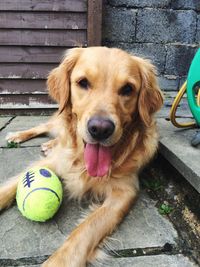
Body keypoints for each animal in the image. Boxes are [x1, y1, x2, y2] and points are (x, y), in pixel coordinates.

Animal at [0, 47, 162, 266]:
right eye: (83, 82)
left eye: (128, 89)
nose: (100, 129)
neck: (82, 162)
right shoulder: (54, 162)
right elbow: (9, 187)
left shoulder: (125, 191)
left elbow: (85, 231)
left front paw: (59, 261)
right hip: (56, 122)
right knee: (45, 126)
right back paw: (18, 136)